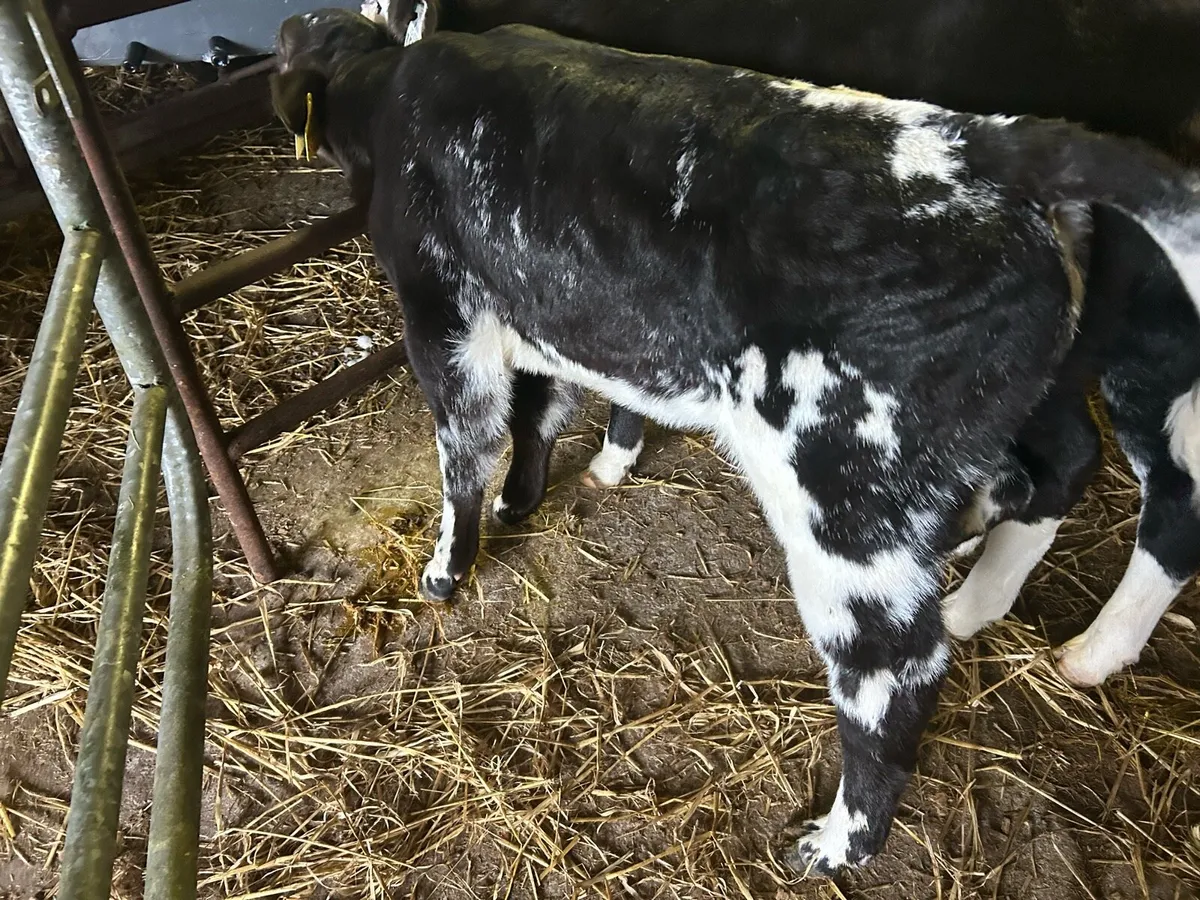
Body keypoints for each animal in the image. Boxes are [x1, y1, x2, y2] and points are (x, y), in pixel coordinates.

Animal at [270, 9, 1200, 873]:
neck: (391, 90)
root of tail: (992, 144)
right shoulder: (539, 303)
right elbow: (542, 407)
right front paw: (532, 494)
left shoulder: (443, 313)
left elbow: (463, 450)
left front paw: (447, 569)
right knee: (1035, 478)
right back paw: (977, 584)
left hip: (847, 496)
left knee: (898, 665)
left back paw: (845, 837)